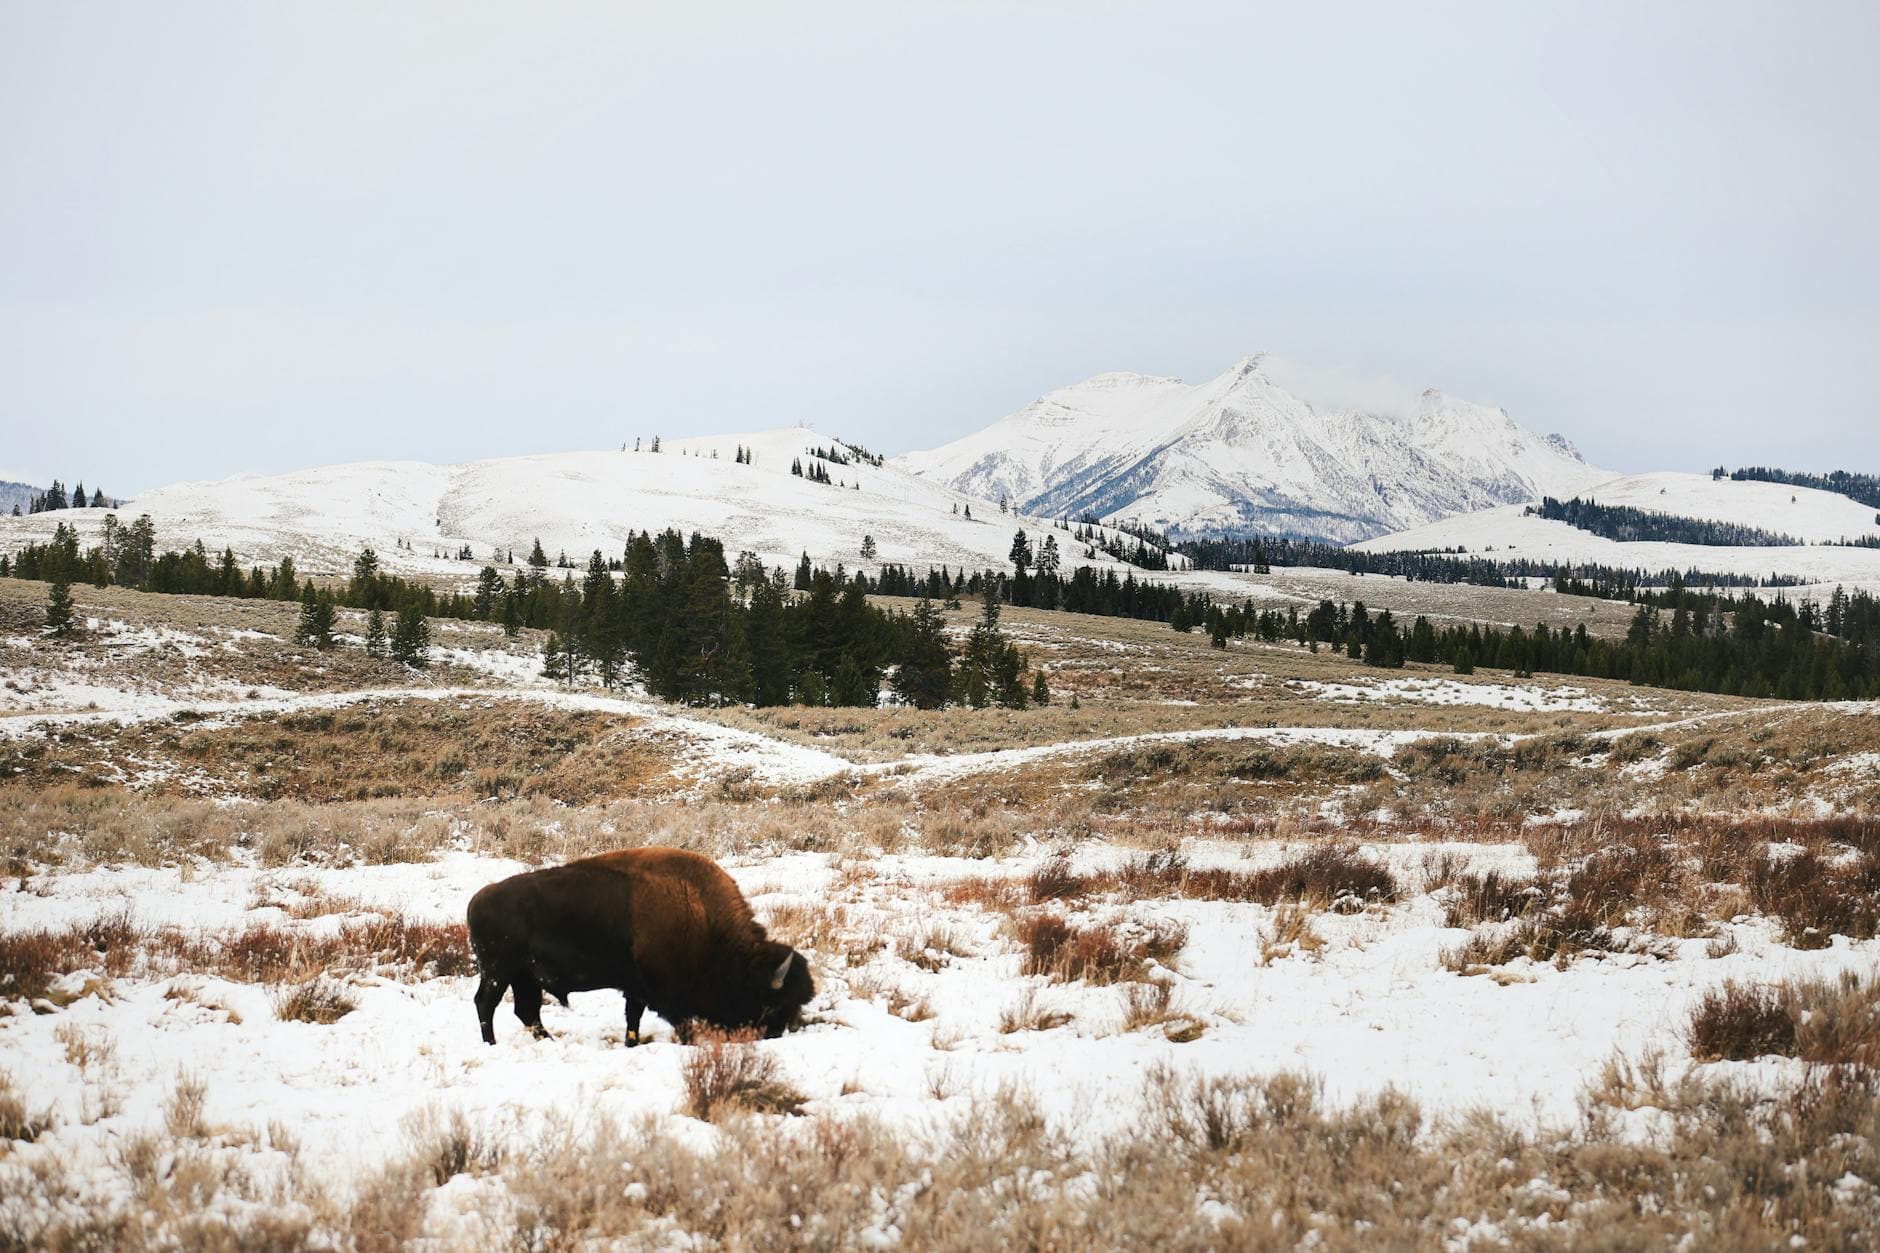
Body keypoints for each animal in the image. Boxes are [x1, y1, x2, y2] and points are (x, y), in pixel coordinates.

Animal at [466, 846, 813, 1046]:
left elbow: (632, 1018)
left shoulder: (635, 988)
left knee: (527, 1011)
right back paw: (491, 1044)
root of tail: (476, 900)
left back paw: (548, 1041)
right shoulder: (664, 994)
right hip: (498, 972)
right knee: (486, 1004)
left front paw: (630, 1043)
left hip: (523, 977)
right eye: (772, 1003)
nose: (775, 1035)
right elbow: (679, 1023)